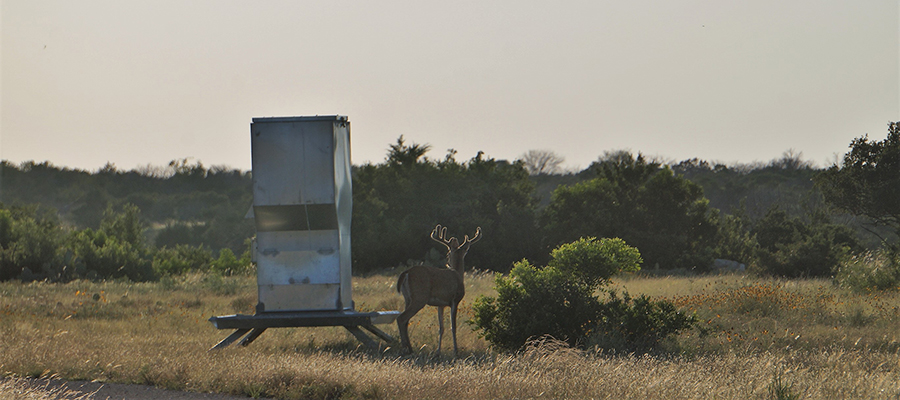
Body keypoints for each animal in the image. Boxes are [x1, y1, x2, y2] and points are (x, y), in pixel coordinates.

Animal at [398, 225, 482, 356]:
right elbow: (453, 326)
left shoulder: (440, 305)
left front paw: (438, 351)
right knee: (401, 318)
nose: (447, 262)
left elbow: (441, 328)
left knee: (405, 320)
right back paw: (405, 348)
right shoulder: (455, 300)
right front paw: (456, 351)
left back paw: (409, 348)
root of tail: (406, 273)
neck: (458, 274)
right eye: (448, 253)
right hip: (419, 297)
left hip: (407, 298)